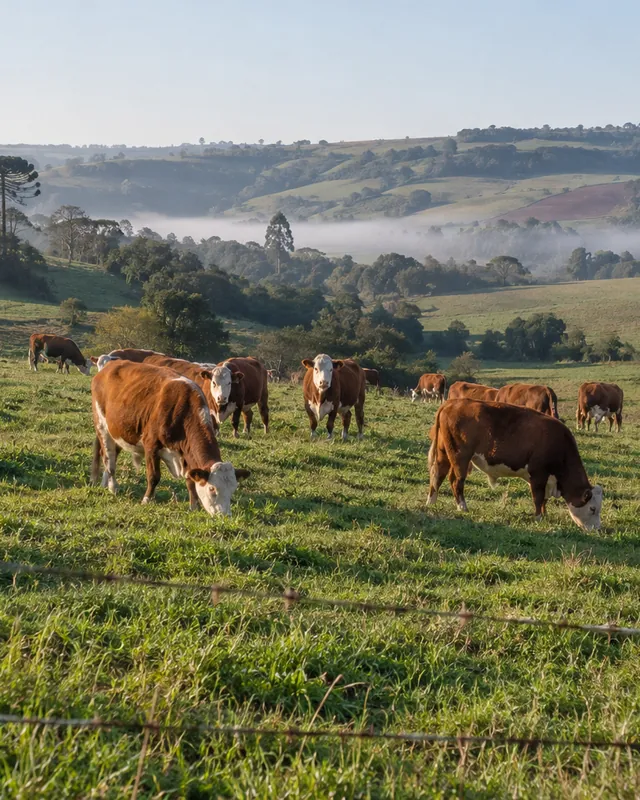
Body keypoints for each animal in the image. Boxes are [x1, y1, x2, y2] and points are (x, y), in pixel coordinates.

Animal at [91, 360, 250, 516]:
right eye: (212, 488)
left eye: (233, 489)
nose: (224, 515)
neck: (183, 410)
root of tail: (108, 367)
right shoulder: (151, 445)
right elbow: (154, 476)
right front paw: (147, 499)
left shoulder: (186, 453)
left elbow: (190, 481)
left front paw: (194, 506)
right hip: (102, 426)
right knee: (109, 458)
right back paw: (113, 487)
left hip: (117, 432)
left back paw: (105, 482)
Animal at [427, 399, 603, 530]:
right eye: (593, 508)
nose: (597, 529)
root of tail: (452, 402)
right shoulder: (538, 475)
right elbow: (538, 498)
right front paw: (538, 517)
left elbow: (544, 500)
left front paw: (544, 514)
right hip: (460, 457)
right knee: (456, 481)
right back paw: (462, 507)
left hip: (444, 453)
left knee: (438, 475)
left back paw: (431, 502)